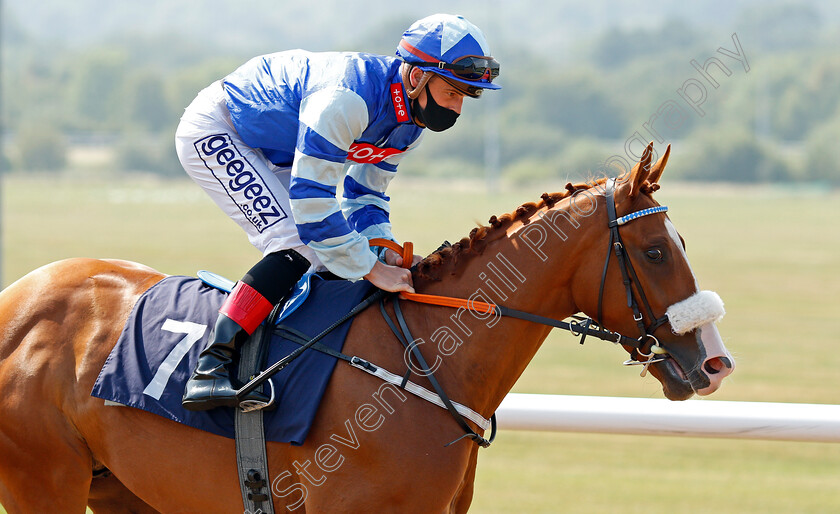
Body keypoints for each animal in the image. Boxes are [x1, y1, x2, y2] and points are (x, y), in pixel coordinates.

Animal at [0, 142, 732, 510]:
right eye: (656, 251)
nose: (714, 362)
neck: (424, 362)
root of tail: (18, 299)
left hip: (119, 490)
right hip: (44, 482)